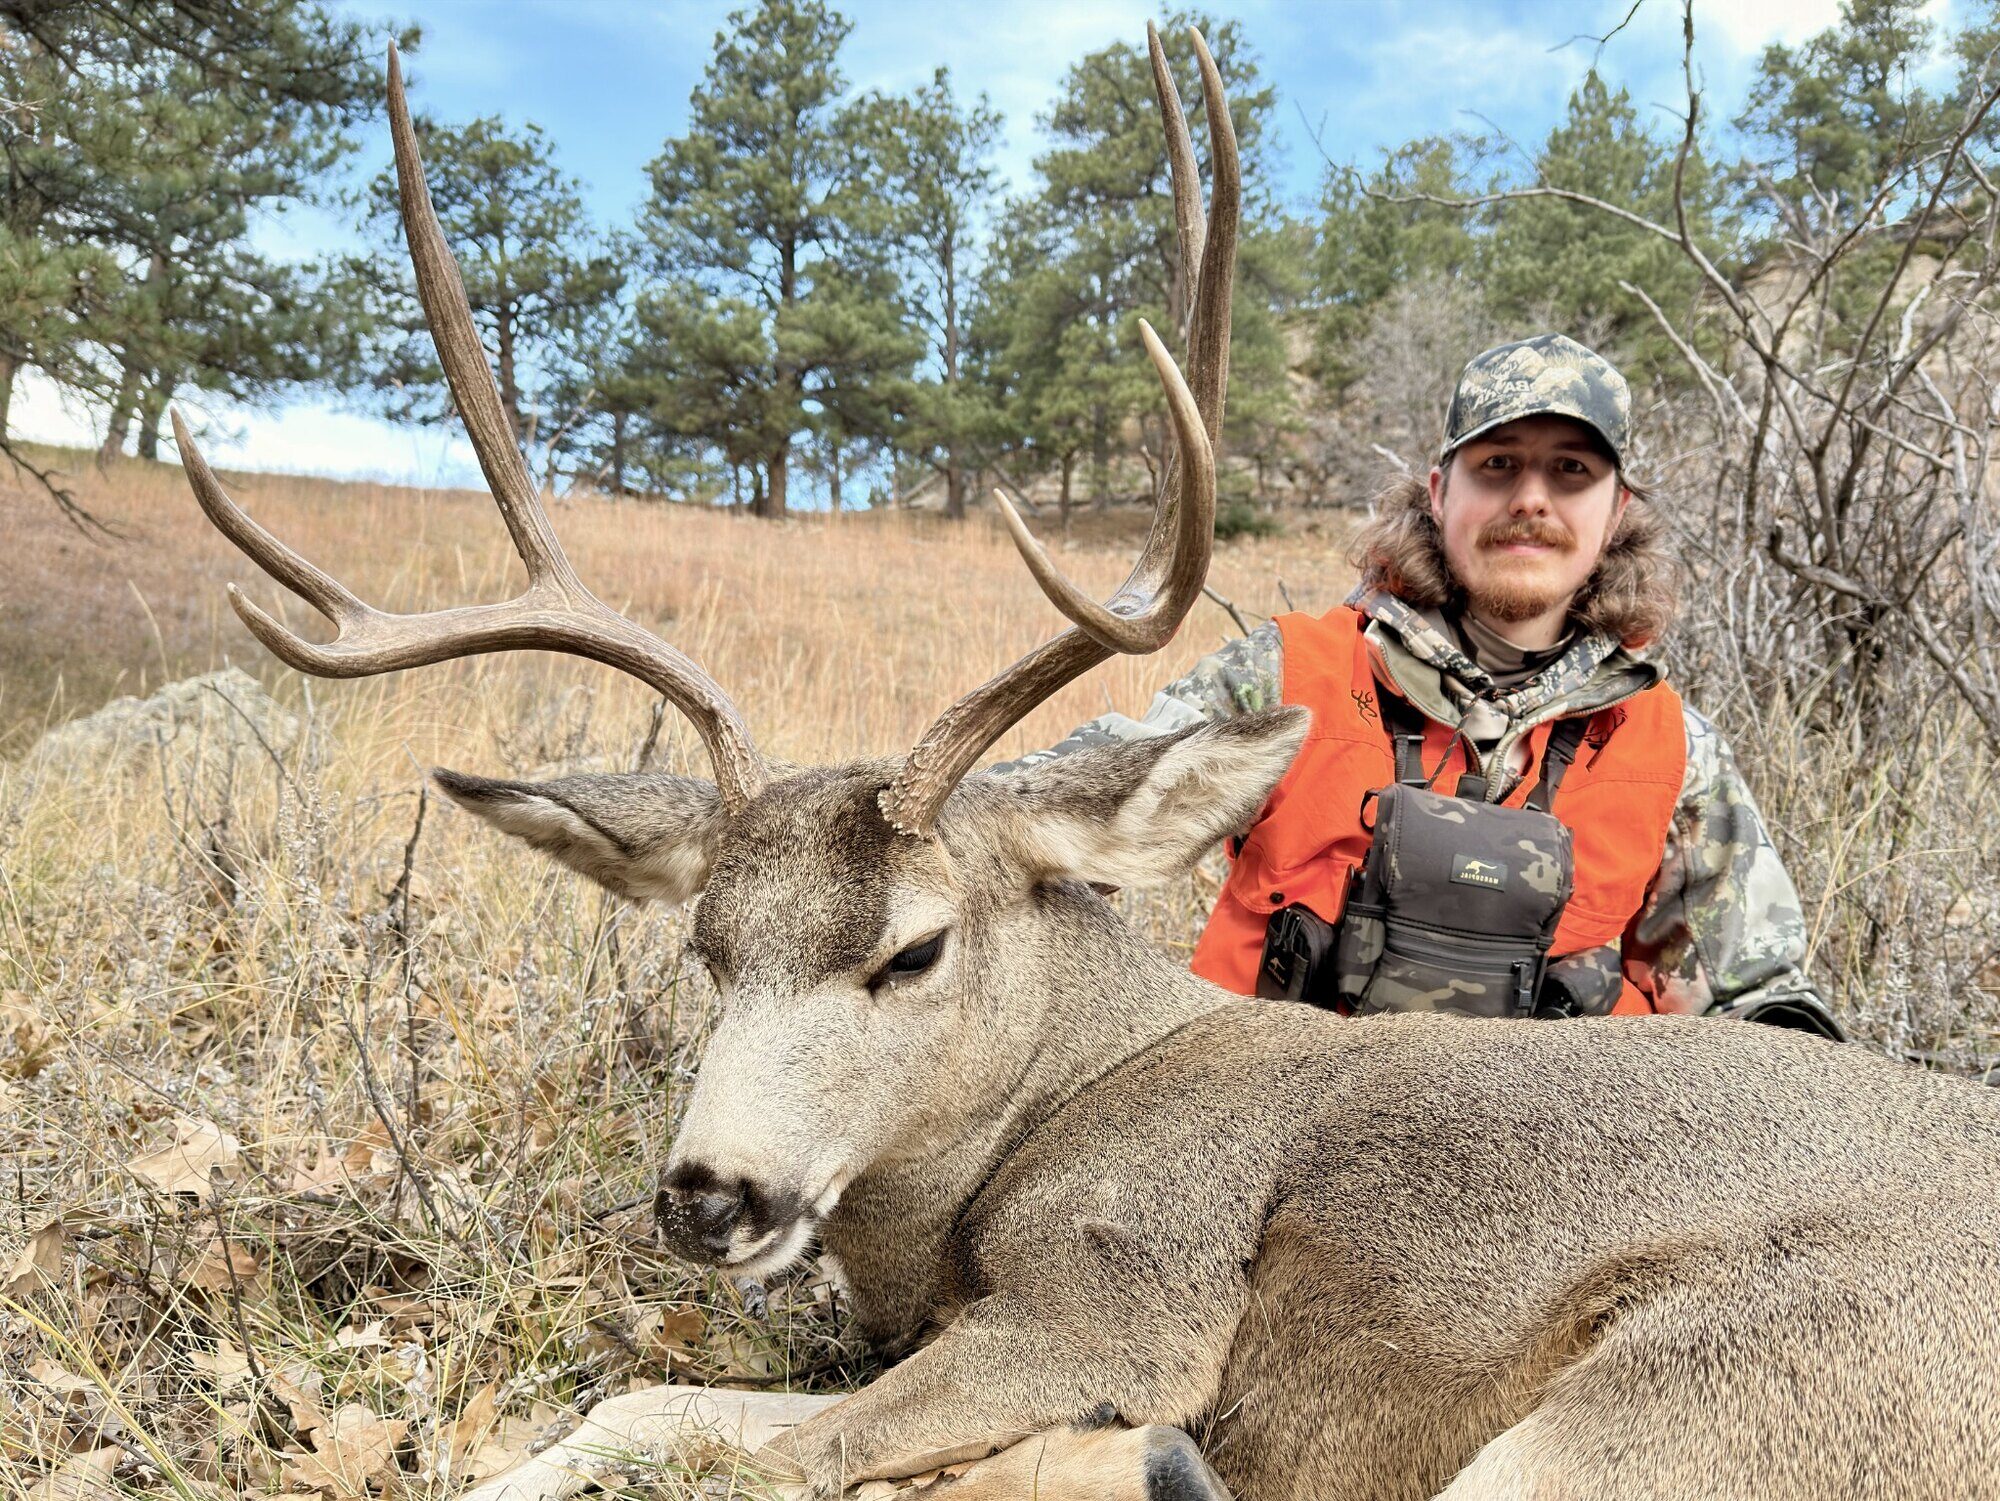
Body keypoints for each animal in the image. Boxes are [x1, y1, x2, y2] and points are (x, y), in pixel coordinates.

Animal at [169, 28, 2000, 1501]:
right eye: (705, 948)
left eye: (913, 950)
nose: (708, 1192)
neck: (1046, 1116)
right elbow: (639, 1408)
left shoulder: (1117, 1296)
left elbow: (750, 1447)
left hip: (1709, 1398)